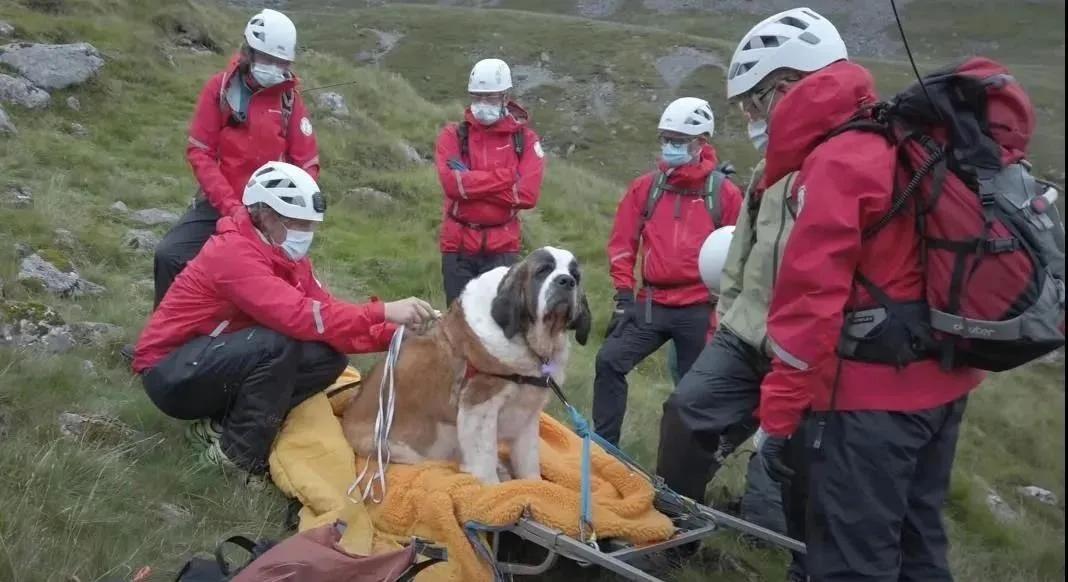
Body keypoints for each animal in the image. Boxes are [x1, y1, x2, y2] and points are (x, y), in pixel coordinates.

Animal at [343, 247, 589, 482]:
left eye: (576, 275)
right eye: (543, 271)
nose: (567, 281)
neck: (529, 341)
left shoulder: (528, 412)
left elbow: (529, 459)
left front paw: (532, 482)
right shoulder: (480, 405)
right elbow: (484, 460)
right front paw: (492, 485)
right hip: (393, 448)